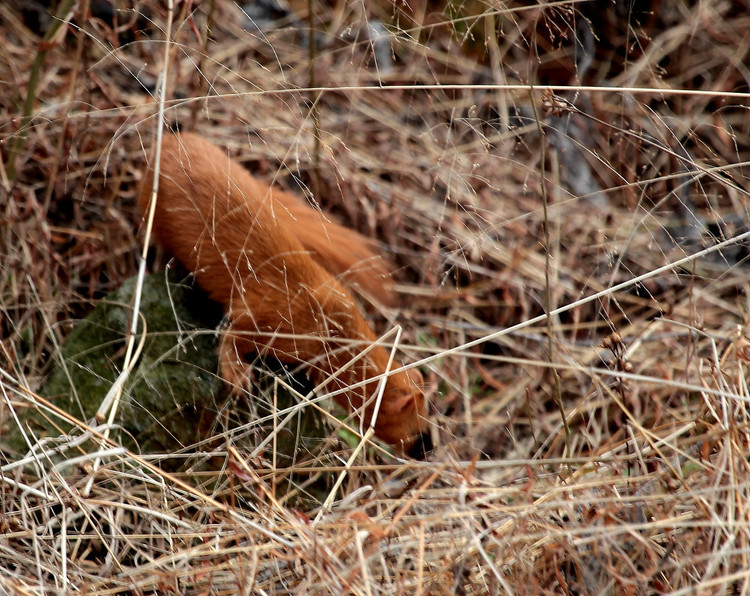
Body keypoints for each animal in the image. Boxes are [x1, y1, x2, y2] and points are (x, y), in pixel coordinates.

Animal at [137, 133, 426, 450]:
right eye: (417, 433)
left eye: (426, 425)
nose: (428, 450)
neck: (327, 320)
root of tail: (174, 137)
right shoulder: (270, 319)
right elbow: (232, 335)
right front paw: (238, 376)